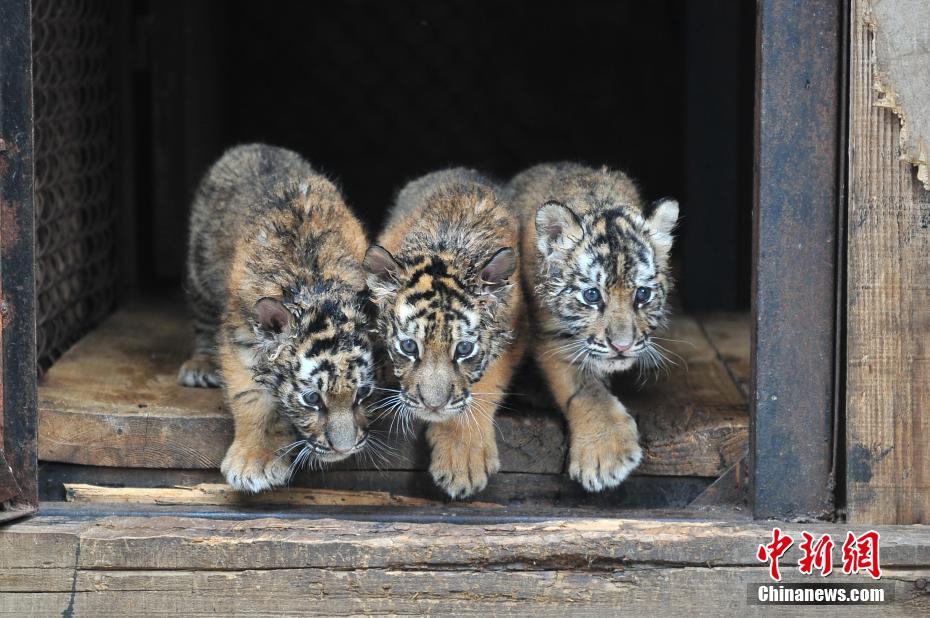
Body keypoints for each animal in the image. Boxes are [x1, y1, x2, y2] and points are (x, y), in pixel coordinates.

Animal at [178, 144, 376, 493]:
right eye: (312, 399)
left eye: (362, 393)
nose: (344, 449)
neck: (314, 283)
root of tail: (256, 145)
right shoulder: (239, 335)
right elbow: (253, 398)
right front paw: (253, 463)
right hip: (199, 269)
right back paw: (200, 367)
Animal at [508, 162, 679, 492]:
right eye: (592, 296)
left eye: (642, 294)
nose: (622, 346)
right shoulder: (550, 334)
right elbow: (583, 388)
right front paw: (605, 456)